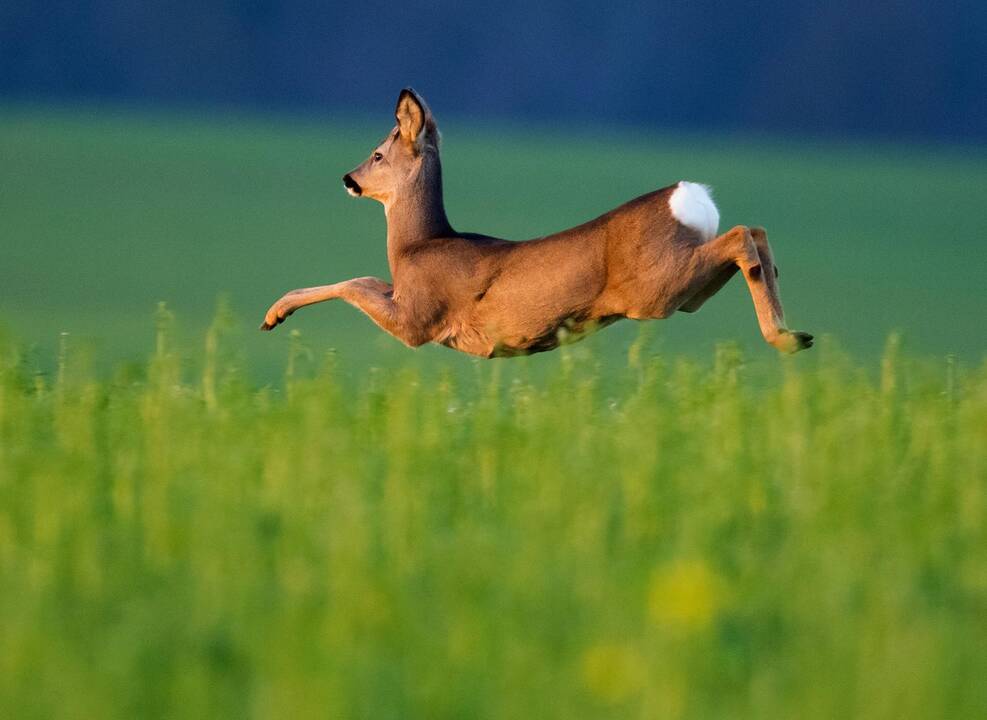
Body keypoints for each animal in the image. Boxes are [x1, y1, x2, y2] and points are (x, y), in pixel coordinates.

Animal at [258, 88, 816, 358]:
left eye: (377, 153)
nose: (348, 178)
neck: (419, 245)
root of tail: (690, 196)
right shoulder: (407, 300)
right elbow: (366, 277)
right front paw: (275, 314)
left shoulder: (418, 319)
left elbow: (356, 282)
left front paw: (274, 314)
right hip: (685, 292)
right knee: (755, 233)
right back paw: (796, 333)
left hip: (655, 287)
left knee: (742, 236)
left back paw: (784, 337)